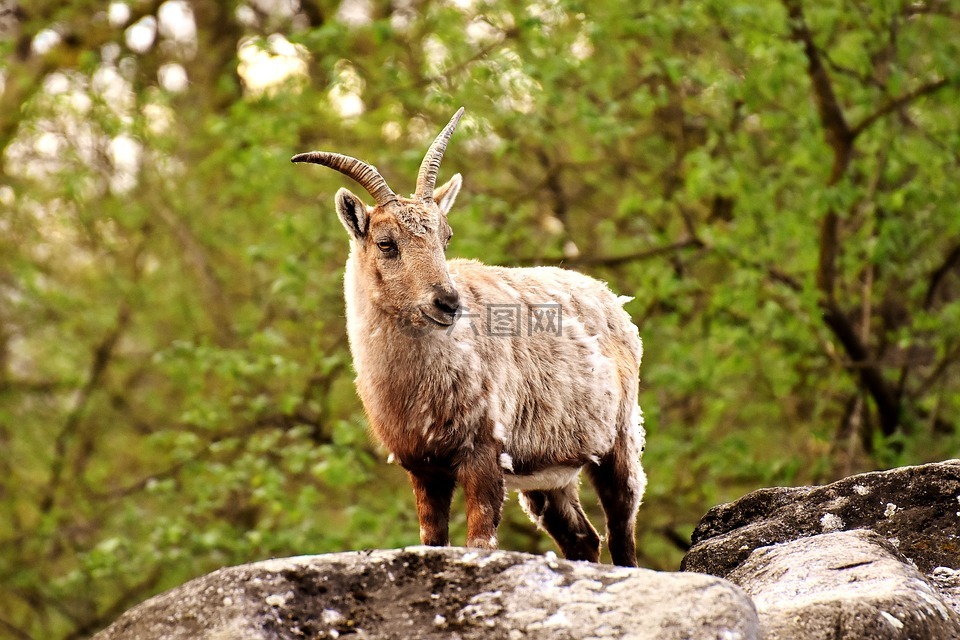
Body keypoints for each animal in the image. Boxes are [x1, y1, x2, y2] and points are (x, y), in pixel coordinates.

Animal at [292, 109, 644, 564]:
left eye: (446, 237)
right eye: (386, 243)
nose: (447, 302)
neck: (415, 384)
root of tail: (612, 298)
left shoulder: (484, 452)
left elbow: (479, 541)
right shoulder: (423, 466)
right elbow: (432, 539)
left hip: (619, 440)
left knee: (621, 527)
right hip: (547, 476)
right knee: (581, 537)